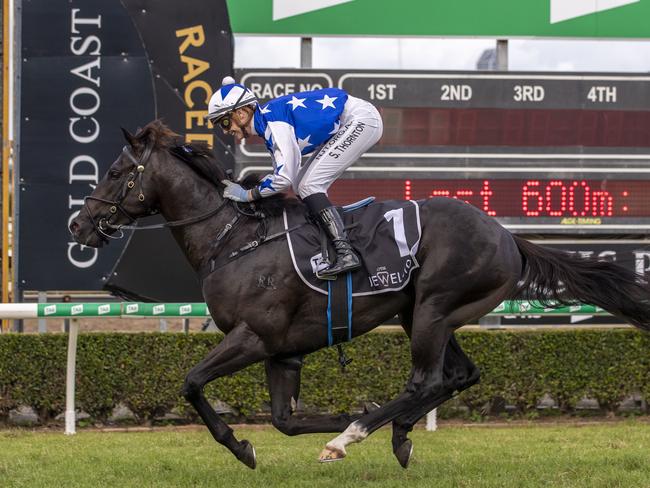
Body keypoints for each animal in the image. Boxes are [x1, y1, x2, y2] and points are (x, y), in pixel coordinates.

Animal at [69, 121, 648, 468]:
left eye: (116, 171)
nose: (79, 224)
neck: (232, 239)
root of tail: (507, 235)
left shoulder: (254, 337)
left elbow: (191, 383)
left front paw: (246, 445)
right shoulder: (283, 351)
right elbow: (284, 421)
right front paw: (328, 421)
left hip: (434, 308)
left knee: (425, 380)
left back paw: (358, 434)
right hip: (427, 313)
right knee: (459, 376)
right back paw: (396, 432)